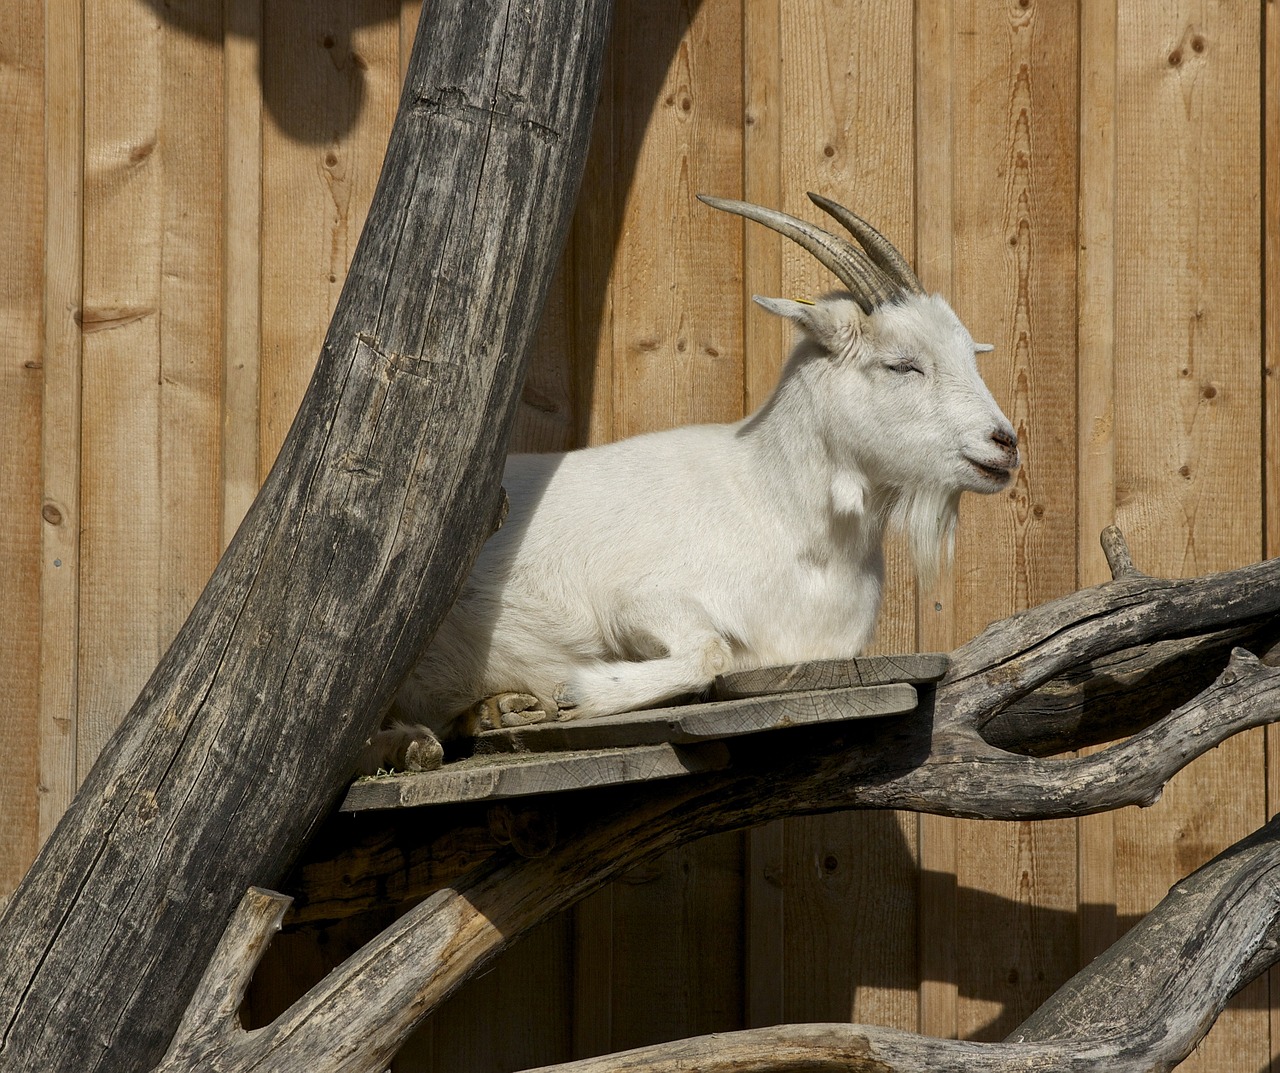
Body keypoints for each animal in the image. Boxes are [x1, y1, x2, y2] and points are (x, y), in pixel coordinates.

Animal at [360, 195, 1018, 773]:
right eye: (901, 363)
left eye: (969, 354)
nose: (1004, 443)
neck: (775, 508)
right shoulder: (635, 598)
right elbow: (710, 650)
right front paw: (575, 690)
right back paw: (423, 742)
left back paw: (489, 712)